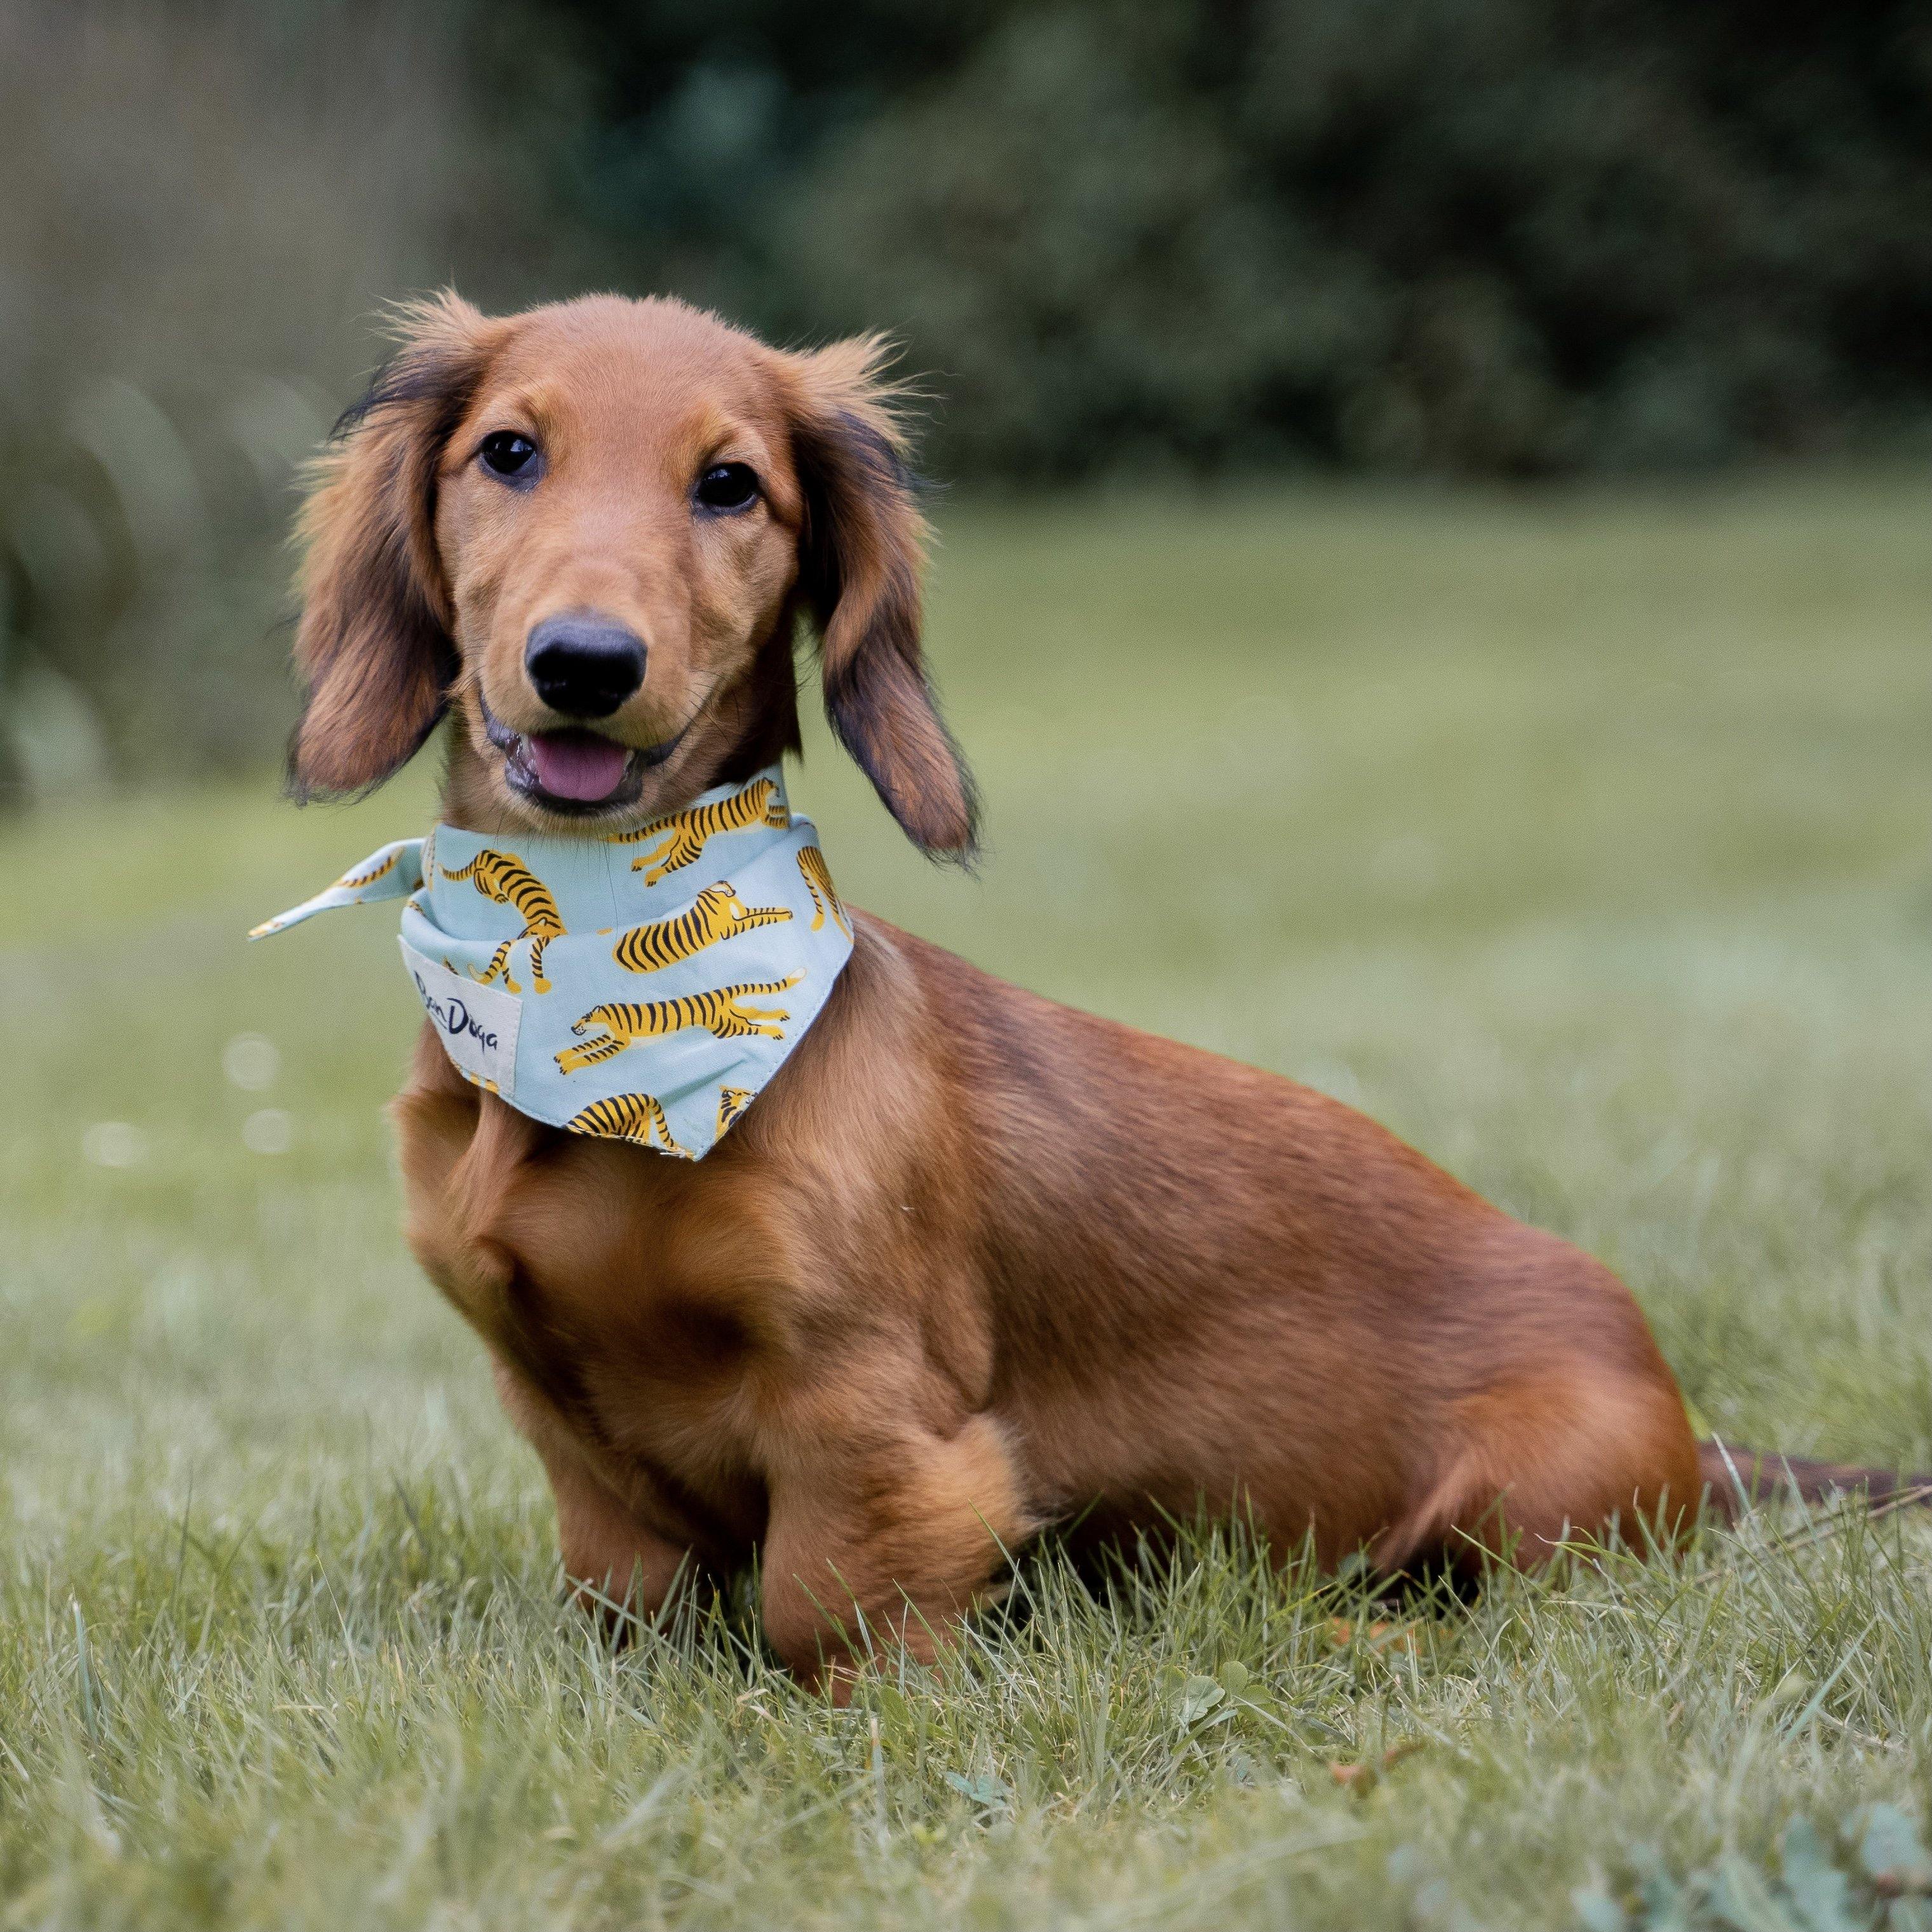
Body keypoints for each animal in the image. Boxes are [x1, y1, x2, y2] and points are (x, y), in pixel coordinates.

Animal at [286, 290, 1916, 1692]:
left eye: (730, 485)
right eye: (509, 451)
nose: (584, 664)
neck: (598, 995)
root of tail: (1686, 1422)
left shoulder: (868, 1411)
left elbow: (831, 1612)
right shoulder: (571, 1439)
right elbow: (624, 1612)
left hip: (1523, 1498)